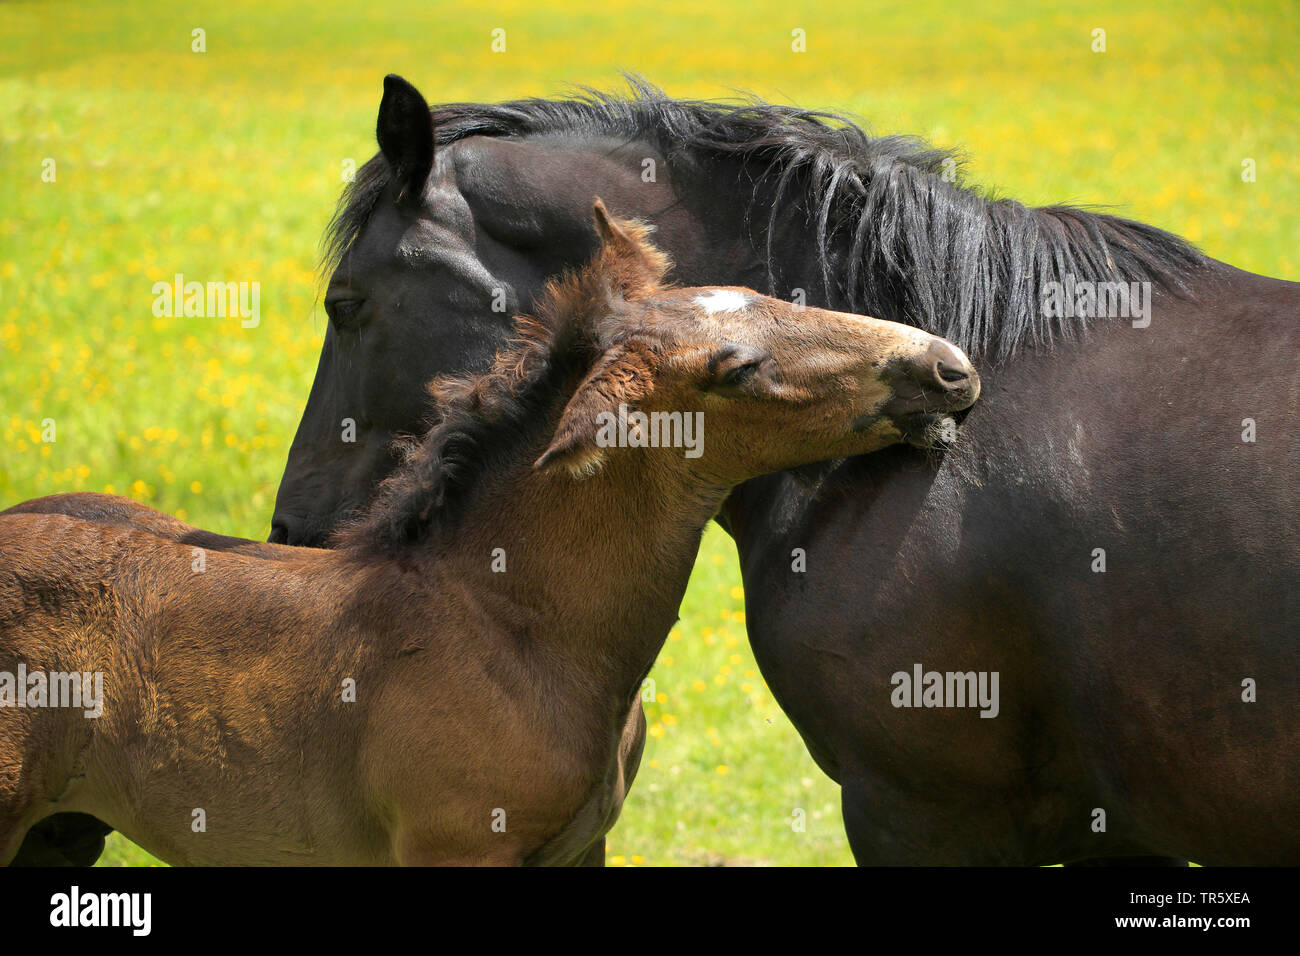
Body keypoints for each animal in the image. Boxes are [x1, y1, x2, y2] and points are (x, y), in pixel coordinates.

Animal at [0, 204, 977, 868]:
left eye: (769, 293)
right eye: (735, 369)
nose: (947, 368)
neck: (512, 627)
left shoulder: (582, 847)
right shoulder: (456, 845)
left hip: (62, 830)